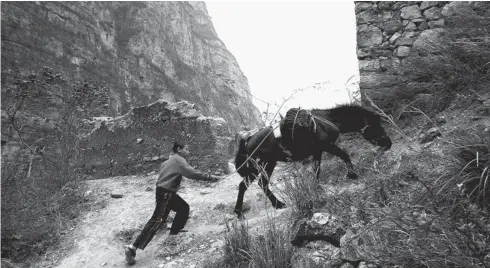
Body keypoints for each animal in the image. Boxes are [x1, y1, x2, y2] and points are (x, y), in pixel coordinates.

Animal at [232, 103, 392, 219]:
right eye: (376, 124)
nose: (389, 144)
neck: (327, 121)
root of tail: (248, 140)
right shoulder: (328, 146)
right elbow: (345, 155)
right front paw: (351, 174)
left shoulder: (318, 152)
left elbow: (316, 170)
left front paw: (317, 188)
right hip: (262, 165)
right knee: (253, 185)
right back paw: (264, 207)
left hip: (264, 165)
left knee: (253, 185)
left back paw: (255, 209)